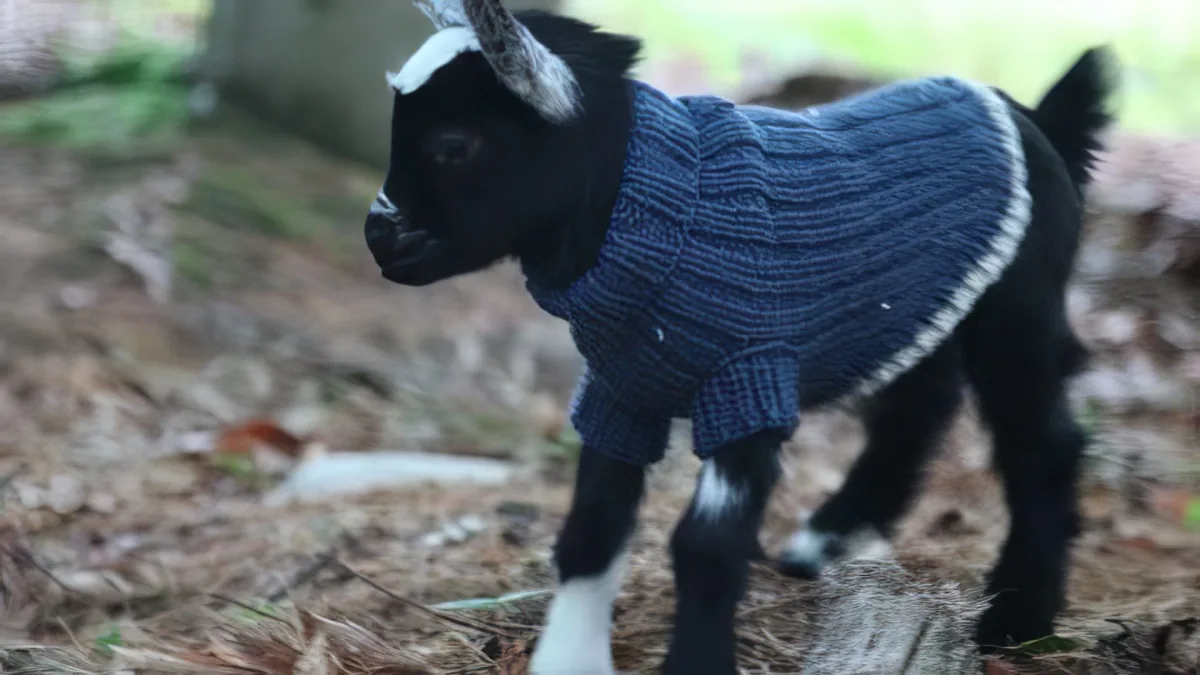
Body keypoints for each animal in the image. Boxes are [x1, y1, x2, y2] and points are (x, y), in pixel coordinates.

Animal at [364, 2, 1116, 672]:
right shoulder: (620, 389)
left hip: (1018, 303)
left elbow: (705, 544)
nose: (378, 235)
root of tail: (1030, 115)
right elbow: (591, 529)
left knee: (1042, 444)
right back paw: (826, 542)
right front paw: (568, 660)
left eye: (452, 147)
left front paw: (694, 661)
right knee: (918, 408)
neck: (664, 207)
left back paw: (1018, 617)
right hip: (915, 310)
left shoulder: (748, 376)